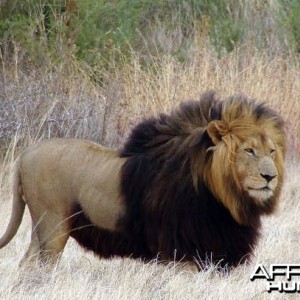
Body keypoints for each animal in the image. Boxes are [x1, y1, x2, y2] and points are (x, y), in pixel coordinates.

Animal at [0, 90, 286, 268]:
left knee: (27, 263)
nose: (270, 176)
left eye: (271, 151)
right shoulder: (181, 250)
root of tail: (26, 154)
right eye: (249, 151)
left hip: (41, 229)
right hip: (53, 226)